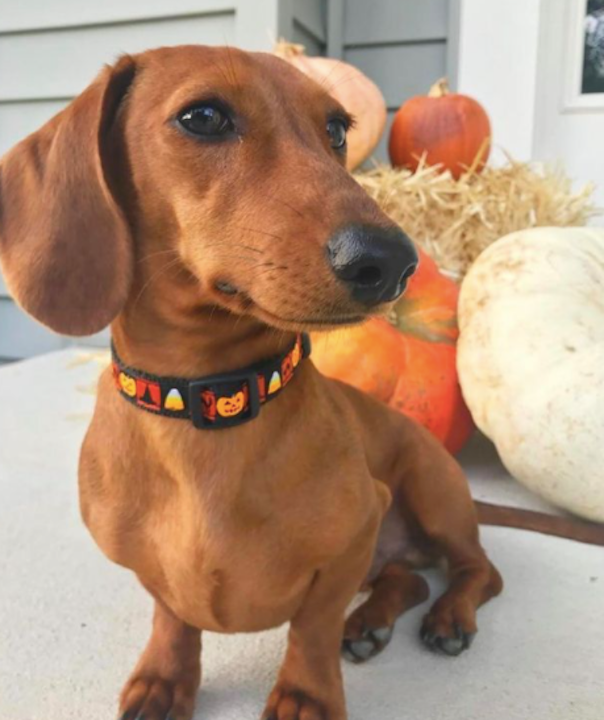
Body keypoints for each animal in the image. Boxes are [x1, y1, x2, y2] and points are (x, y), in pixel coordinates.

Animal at [0, 46, 502, 720]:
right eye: (204, 117)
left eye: (337, 128)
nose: (394, 262)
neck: (209, 399)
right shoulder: (149, 567)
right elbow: (172, 614)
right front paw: (165, 677)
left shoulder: (357, 529)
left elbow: (313, 624)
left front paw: (305, 694)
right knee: (410, 576)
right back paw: (370, 622)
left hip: (432, 488)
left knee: (479, 570)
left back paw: (448, 616)